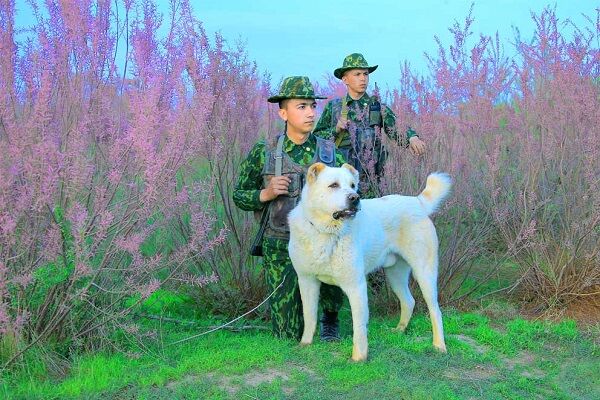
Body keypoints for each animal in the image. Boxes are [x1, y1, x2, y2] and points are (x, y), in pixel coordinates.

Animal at [288, 161, 450, 360]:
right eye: (333, 185)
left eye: (352, 185)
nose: (355, 198)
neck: (326, 232)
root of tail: (417, 202)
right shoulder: (307, 281)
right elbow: (309, 316)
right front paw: (305, 344)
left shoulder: (355, 285)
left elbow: (359, 326)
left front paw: (359, 357)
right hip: (395, 274)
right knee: (409, 301)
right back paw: (399, 330)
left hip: (424, 273)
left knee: (435, 310)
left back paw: (439, 346)